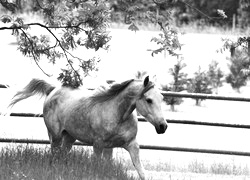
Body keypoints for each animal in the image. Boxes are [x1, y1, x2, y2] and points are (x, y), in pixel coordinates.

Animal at [9, 75, 168, 179]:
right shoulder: (98, 145)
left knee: (62, 156)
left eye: (161, 98)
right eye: (149, 100)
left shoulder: (130, 145)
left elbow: (141, 172)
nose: (163, 126)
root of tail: (52, 90)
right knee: (54, 156)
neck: (118, 114)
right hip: (55, 136)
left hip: (69, 137)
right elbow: (97, 167)